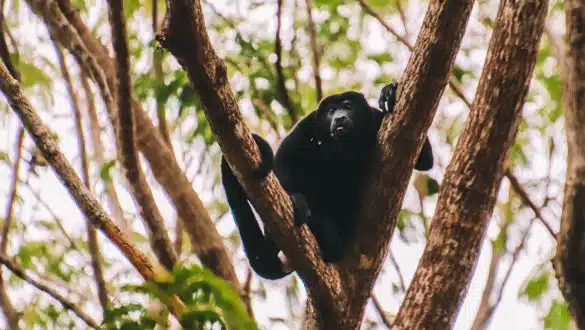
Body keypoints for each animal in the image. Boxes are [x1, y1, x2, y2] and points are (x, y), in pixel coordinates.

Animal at [221, 81, 432, 280]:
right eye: (331, 111)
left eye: (347, 106)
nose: (339, 117)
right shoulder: (307, 124)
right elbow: (284, 158)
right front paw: (295, 197)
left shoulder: (376, 119)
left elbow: (424, 160)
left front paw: (390, 91)